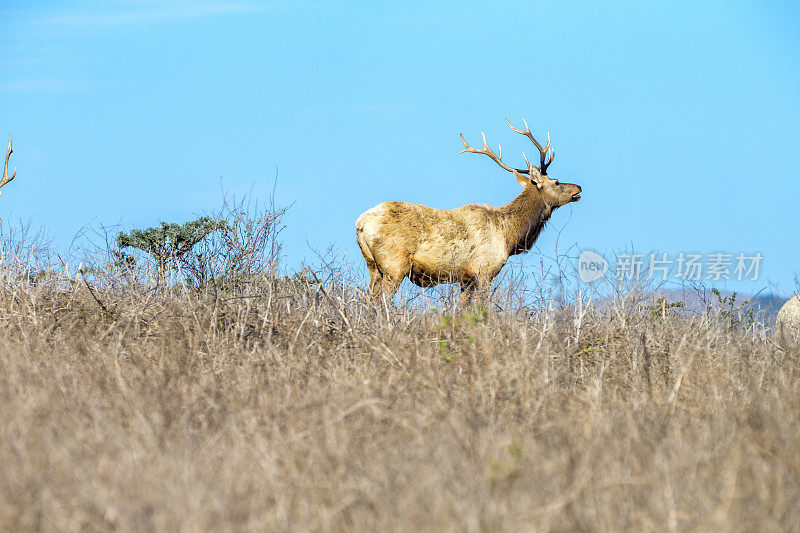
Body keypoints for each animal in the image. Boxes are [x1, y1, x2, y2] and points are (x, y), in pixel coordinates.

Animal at [356, 120, 580, 304]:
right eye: (556, 182)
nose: (578, 187)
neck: (509, 237)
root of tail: (360, 224)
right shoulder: (484, 270)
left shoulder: (466, 279)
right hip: (394, 265)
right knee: (382, 302)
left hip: (373, 267)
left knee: (368, 300)